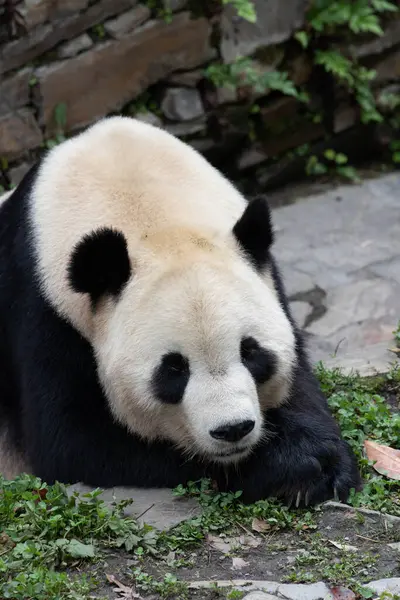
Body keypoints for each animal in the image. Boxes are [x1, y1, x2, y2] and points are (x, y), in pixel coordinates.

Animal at [0, 115, 360, 504]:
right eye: (173, 368)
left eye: (251, 352)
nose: (233, 429)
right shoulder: (44, 308)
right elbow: (71, 438)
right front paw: (290, 466)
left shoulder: (266, 277)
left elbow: (299, 382)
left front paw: (324, 461)